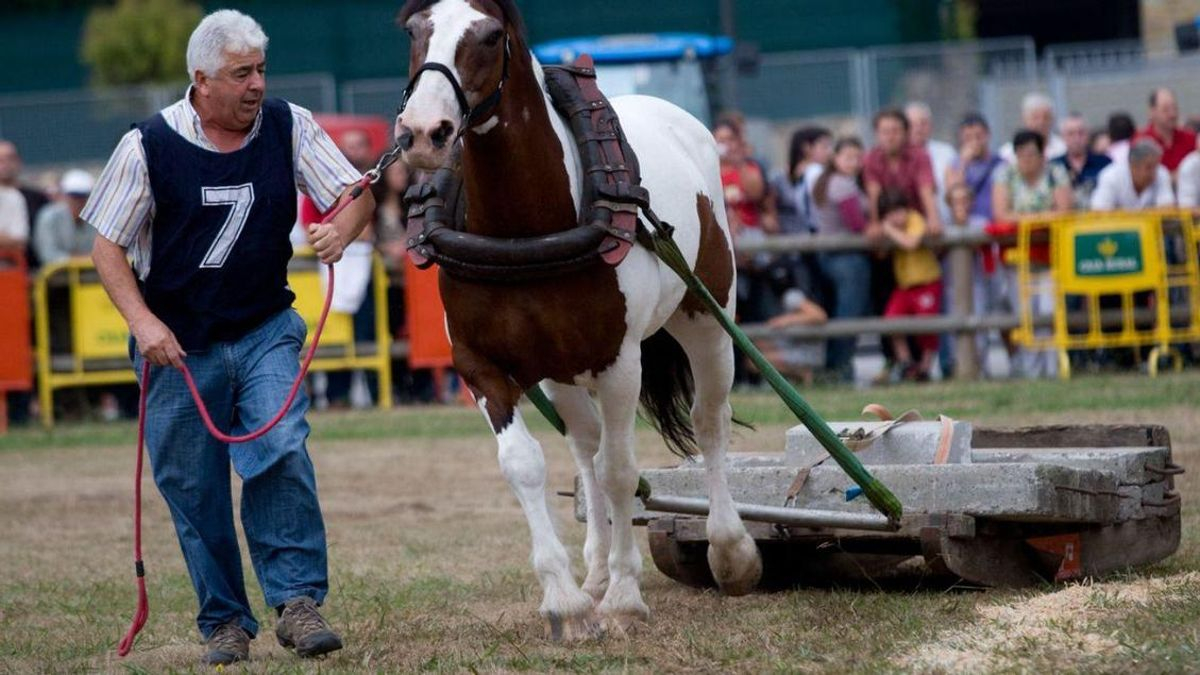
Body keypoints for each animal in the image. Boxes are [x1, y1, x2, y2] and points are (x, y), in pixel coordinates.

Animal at [398, 0, 763, 634]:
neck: (527, 227)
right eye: (416, 32)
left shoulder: (619, 361)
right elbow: (525, 464)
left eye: (489, 36)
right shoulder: (480, 364)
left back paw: (728, 548)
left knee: (709, 422)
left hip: (707, 321)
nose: (423, 131)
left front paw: (624, 595)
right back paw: (592, 570)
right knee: (584, 447)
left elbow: (620, 470)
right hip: (560, 372)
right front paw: (565, 597)